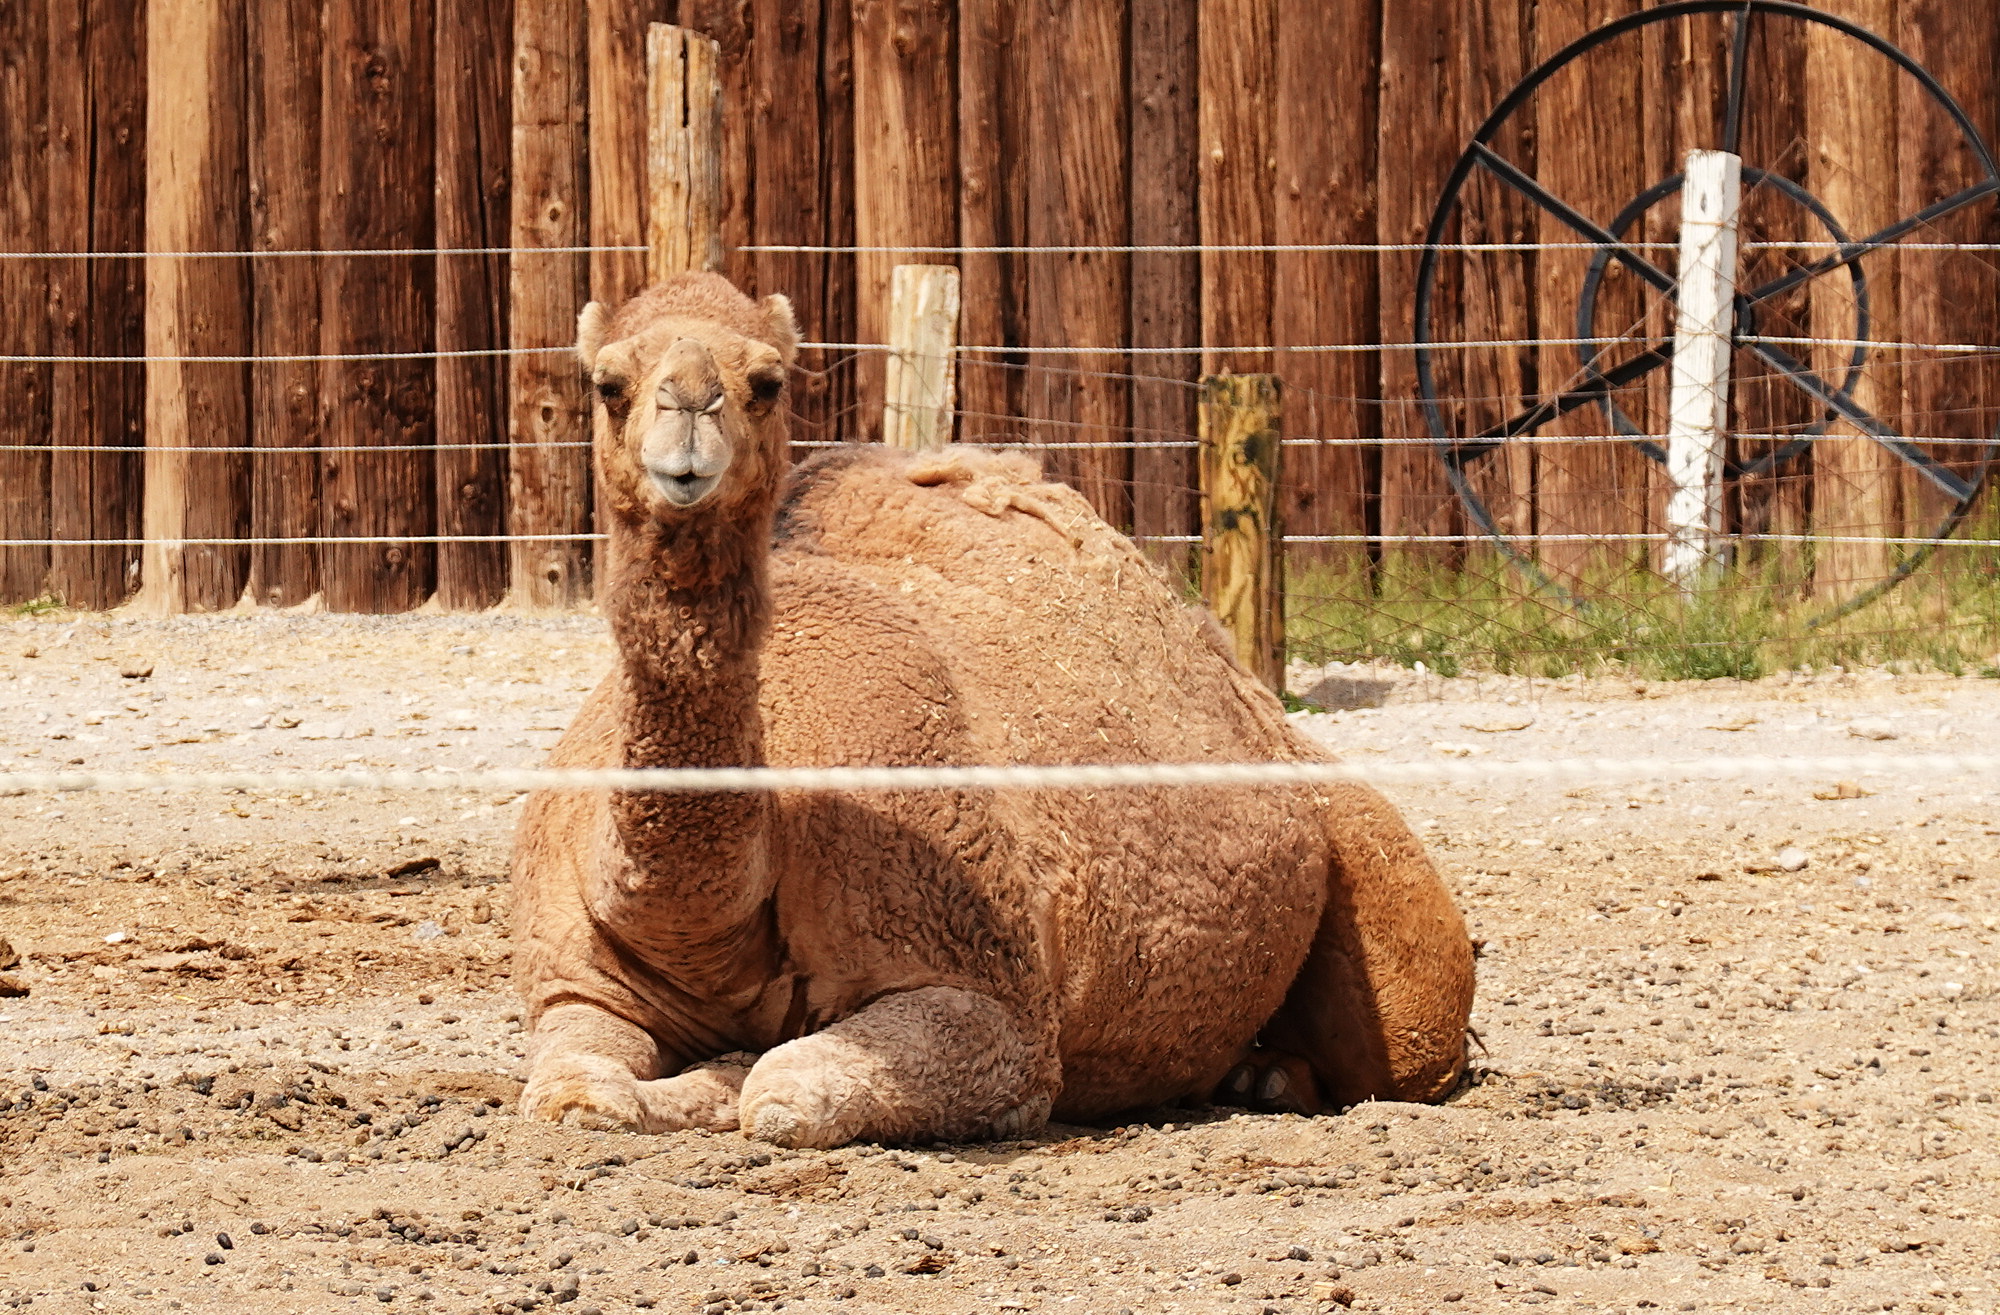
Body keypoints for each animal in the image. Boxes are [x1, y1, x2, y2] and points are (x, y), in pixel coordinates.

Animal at [511, 271, 1475, 1148]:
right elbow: (575, 1087)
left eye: (767, 381)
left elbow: (781, 1088)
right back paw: (1255, 1072)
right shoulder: (575, 983)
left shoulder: (994, 1004)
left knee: (1409, 1042)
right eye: (607, 382)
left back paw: (1275, 1079)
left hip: (1374, 889)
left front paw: (725, 1077)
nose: (688, 413)